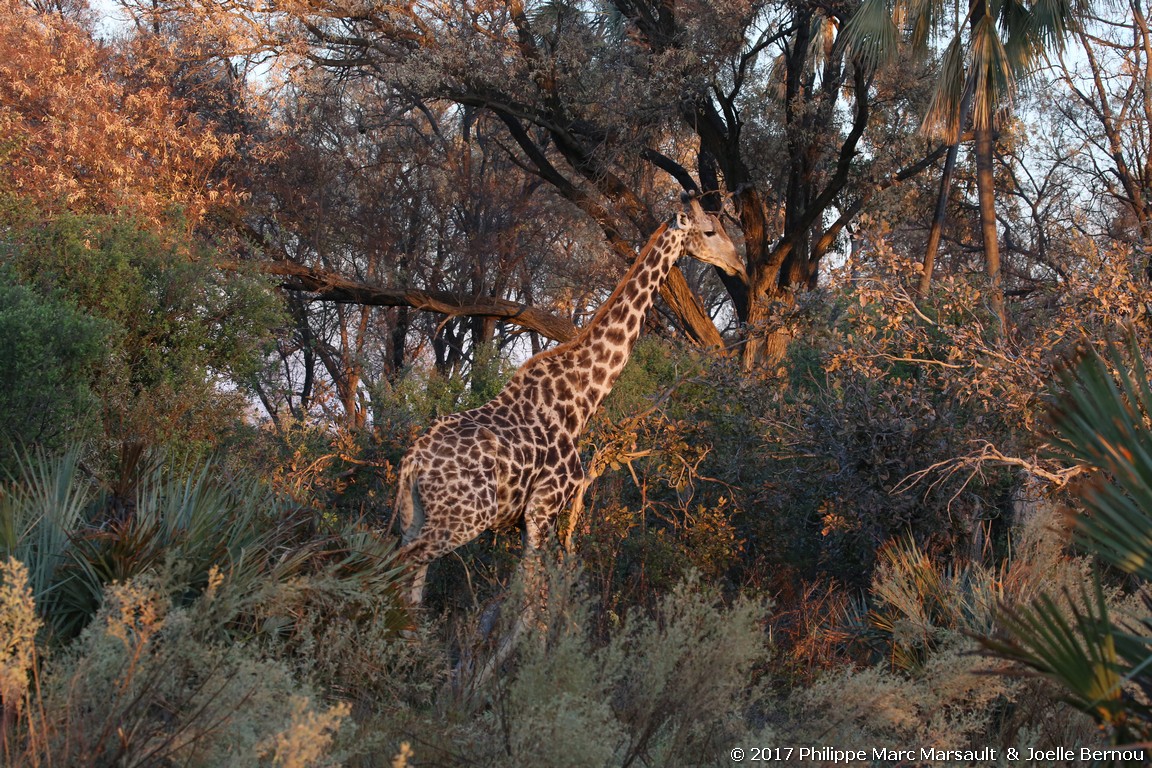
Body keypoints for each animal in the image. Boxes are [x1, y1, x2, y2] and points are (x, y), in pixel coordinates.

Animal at [391, 198, 741, 607]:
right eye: (709, 231)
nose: (737, 263)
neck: (580, 398)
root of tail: (414, 461)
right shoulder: (543, 508)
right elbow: (533, 602)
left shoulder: (533, 517)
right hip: (463, 517)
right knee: (393, 567)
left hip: (416, 516)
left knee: (411, 586)